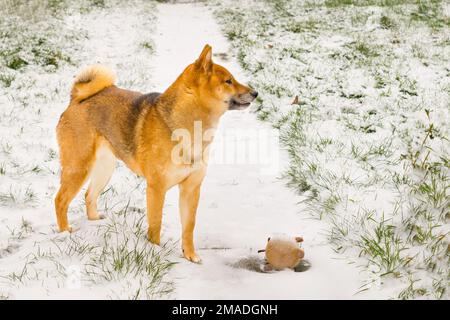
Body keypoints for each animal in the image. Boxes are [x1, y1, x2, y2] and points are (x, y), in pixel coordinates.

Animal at [55, 44, 258, 262]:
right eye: (228, 81)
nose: (255, 93)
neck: (186, 127)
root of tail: (76, 98)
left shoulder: (191, 189)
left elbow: (189, 227)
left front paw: (190, 256)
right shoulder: (156, 188)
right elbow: (155, 223)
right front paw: (154, 251)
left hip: (104, 168)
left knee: (89, 195)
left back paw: (94, 219)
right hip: (78, 168)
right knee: (60, 200)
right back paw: (64, 231)